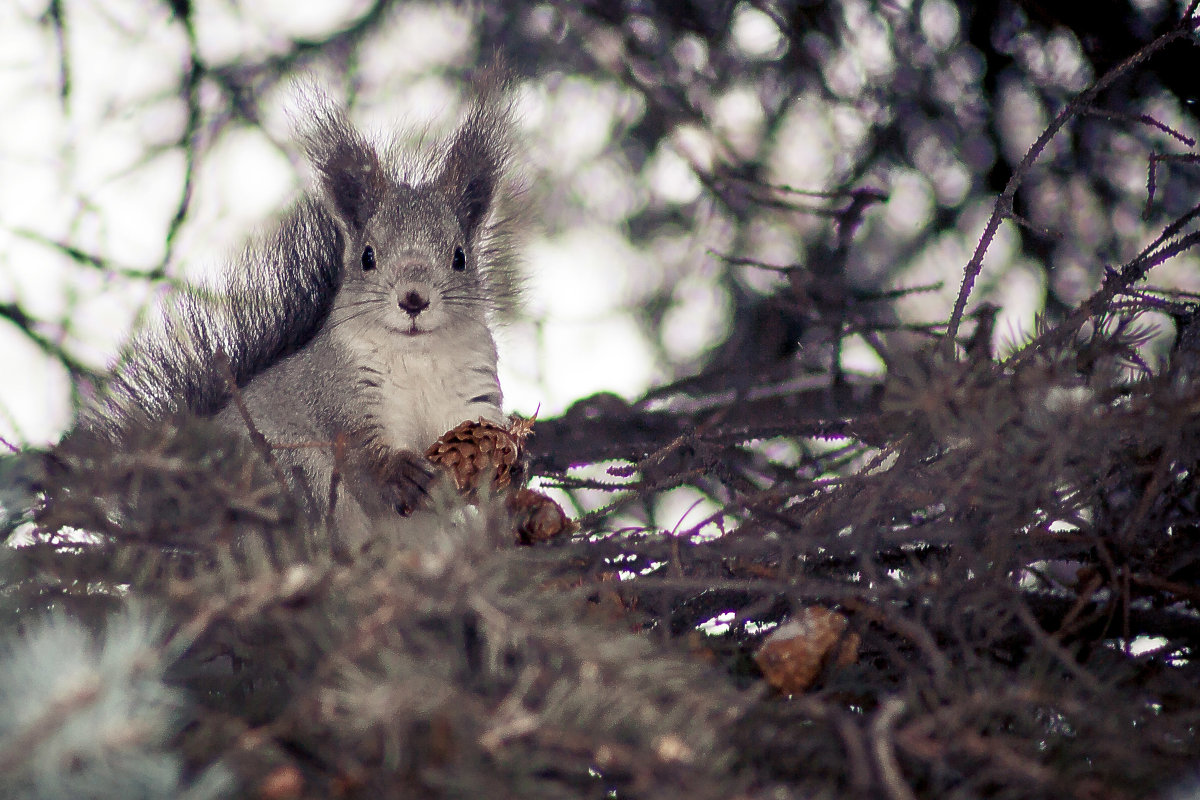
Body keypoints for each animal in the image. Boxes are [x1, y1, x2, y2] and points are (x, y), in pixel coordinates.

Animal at [77, 77, 523, 542]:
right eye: (367, 257)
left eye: (460, 258)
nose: (413, 299)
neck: (417, 357)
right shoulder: (338, 392)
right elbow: (361, 453)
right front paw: (398, 472)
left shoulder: (472, 397)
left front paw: (509, 464)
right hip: (288, 469)